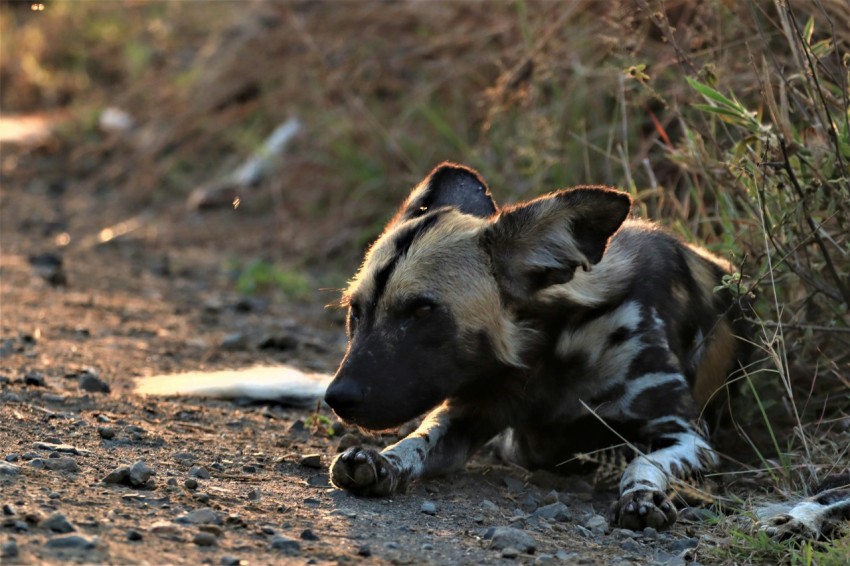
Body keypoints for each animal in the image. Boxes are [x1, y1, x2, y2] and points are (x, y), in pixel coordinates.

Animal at [322, 161, 744, 532]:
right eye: (356, 311)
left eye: (422, 309)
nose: (337, 397)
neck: (550, 351)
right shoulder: (467, 413)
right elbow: (416, 441)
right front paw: (382, 460)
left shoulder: (689, 436)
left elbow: (643, 464)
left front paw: (640, 499)